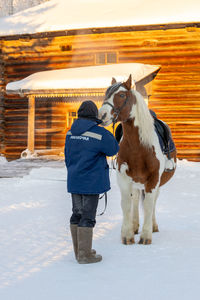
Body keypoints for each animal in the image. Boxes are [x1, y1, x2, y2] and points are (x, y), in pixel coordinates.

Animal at [99, 74, 177, 244]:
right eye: (106, 93)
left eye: (122, 95)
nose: (101, 115)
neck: (138, 146)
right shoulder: (123, 178)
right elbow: (126, 204)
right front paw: (127, 235)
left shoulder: (153, 179)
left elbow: (148, 204)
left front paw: (146, 236)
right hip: (135, 181)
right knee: (134, 199)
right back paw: (134, 226)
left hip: (156, 183)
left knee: (152, 202)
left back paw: (153, 226)